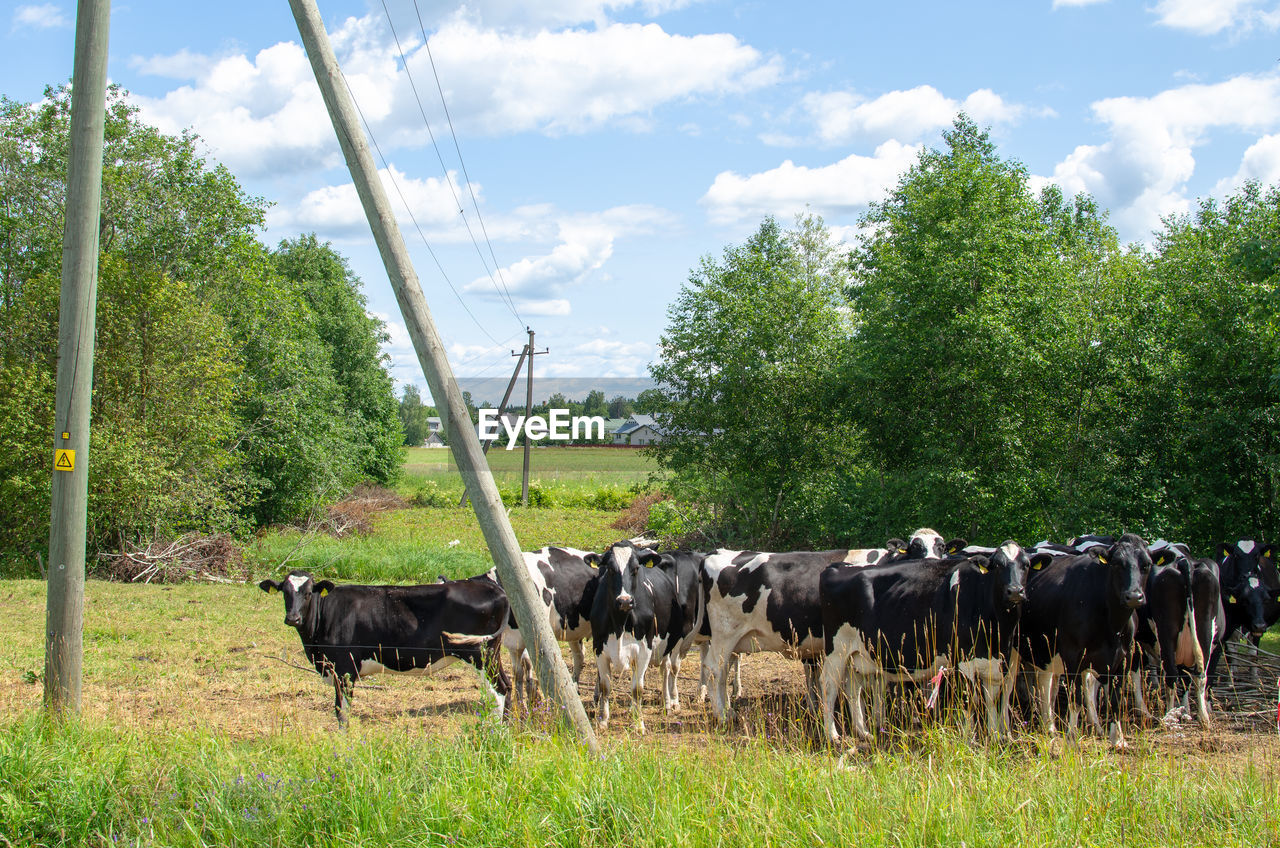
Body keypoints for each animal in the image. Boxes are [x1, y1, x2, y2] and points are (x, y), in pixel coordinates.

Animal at [259, 568, 509, 727]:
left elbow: (342, 710)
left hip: (481, 654)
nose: (293, 618)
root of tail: (491, 587)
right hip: (491, 653)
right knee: (506, 686)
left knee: (498, 691)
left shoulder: (344, 668)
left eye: (308, 592)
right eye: (285, 592)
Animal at [819, 545, 1029, 742]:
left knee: (853, 688)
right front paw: (969, 739)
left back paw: (863, 732)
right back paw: (832, 735)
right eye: (998, 565)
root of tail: (838, 567)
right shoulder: (962, 661)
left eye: (1026, 565)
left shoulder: (997, 664)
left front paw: (994, 737)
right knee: (829, 685)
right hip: (837, 650)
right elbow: (968, 701)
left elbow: (991, 700)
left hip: (858, 653)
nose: (1015, 591)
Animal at [1018, 535, 1152, 748]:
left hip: (1045, 649)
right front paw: (1072, 738)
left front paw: (1118, 739)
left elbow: (1116, 699)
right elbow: (1076, 699)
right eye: (1116, 563)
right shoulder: (1073, 656)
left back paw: (1050, 725)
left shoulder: (1123, 658)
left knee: (1045, 681)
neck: (1112, 623)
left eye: (1146, 564)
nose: (1133, 596)